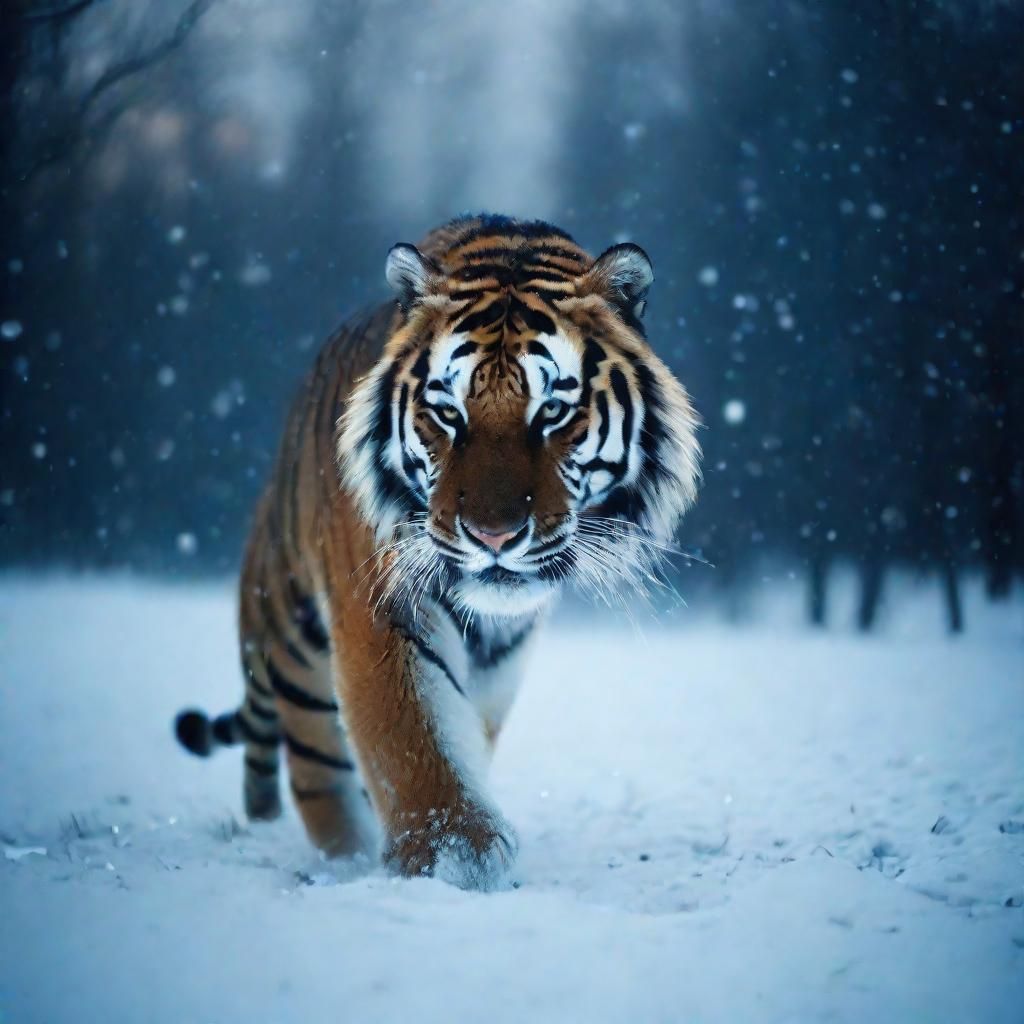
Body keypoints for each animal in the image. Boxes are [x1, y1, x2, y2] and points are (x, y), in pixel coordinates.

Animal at [175, 214, 700, 889]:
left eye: (554, 411)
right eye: (448, 412)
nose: (493, 536)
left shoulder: (502, 663)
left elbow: (456, 736)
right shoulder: (381, 605)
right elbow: (412, 739)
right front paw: (455, 857)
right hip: (293, 642)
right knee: (311, 774)